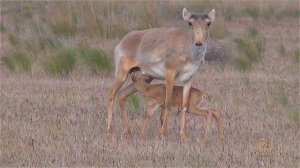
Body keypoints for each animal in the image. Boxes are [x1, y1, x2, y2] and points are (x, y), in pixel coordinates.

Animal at [108, 7, 216, 140]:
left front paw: (184, 135)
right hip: (121, 75)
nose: (199, 43)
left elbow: (185, 105)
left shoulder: (188, 78)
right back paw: (109, 131)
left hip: (142, 80)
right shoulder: (170, 74)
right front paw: (164, 134)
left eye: (208, 23)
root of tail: (123, 41)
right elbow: (168, 102)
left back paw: (128, 132)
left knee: (122, 96)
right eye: (190, 23)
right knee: (111, 95)